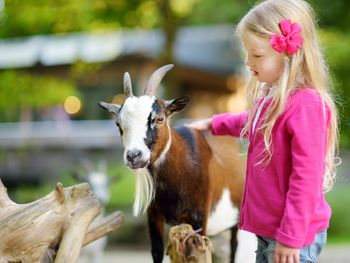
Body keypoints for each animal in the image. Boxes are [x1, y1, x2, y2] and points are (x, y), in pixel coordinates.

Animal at [100, 64, 245, 263]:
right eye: (118, 123)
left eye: (159, 118)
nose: (134, 156)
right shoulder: (154, 216)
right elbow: (157, 252)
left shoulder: (199, 218)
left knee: (234, 247)